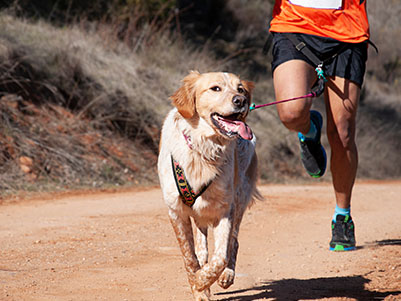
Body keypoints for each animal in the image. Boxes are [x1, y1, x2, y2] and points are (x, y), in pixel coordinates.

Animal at [156, 71, 260, 300]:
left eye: (240, 89)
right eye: (215, 88)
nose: (241, 101)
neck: (204, 150)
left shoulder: (225, 210)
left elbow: (220, 257)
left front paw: (200, 282)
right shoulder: (176, 211)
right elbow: (189, 256)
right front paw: (199, 287)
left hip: (239, 200)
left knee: (233, 242)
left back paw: (227, 275)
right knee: (201, 248)